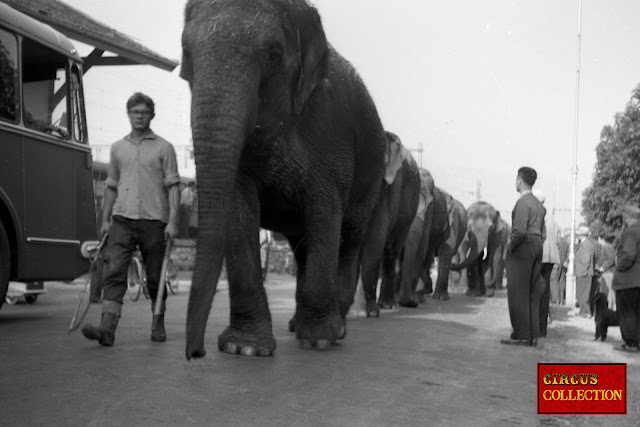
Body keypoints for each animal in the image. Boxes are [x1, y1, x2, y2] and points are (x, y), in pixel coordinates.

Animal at [182, 0, 388, 358]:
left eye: (273, 56)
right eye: (185, 53)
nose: (196, 353)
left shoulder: (330, 132)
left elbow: (325, 210)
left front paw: (319, 341)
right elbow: (238, 212)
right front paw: (243, 348)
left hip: (372, 175)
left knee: (349, 237)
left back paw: (337, 327)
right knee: (302, 244)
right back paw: (297, 323)